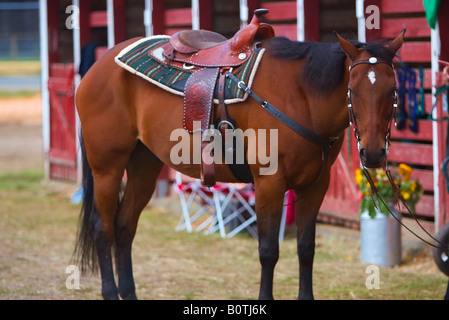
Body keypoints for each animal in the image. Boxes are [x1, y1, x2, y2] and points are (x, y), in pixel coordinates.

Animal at [72, 25, 402, 300]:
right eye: (353, 90)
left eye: (393, 91)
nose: (373, 153)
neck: (301, 97)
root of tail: (99, 64)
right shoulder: (269, 184)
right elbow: (268, 251)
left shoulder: (316, 185)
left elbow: (306, 249)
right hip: (107, 167)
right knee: (103, 227)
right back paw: (110, 291)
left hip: (144, 166)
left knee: (124, 226)